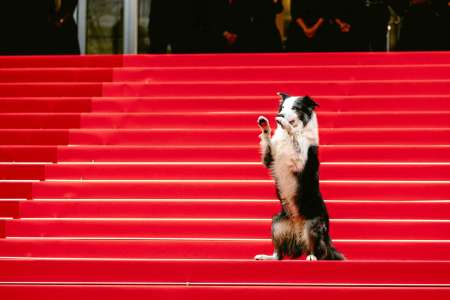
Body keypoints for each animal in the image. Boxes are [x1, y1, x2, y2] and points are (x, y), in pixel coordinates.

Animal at [255, 93, 342, 260]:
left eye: (295, 108)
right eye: (282, 107)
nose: (280, 115)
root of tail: (297, 226)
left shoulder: (300, 160)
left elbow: (294, 136)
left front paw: (286, 125)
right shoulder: (270, 159)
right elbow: (267, 144)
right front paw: (265, 126)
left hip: (313, 225)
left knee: (319, 251)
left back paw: (312, 257)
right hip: (276, 222)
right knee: (279, 254)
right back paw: (267, 257)